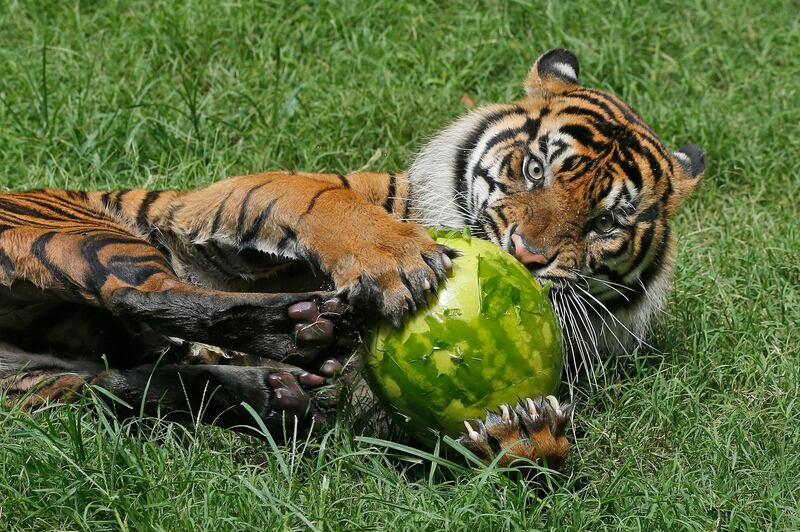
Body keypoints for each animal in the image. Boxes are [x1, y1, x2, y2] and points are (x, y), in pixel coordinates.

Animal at [0, 48, 700, 470]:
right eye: (535, 170)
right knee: (143, 295)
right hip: (88, 236)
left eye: (606, 223)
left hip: (51, 386)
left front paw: (526, 435)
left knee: (131, 379)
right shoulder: (224, 209)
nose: (526, 257)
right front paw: (393, 256)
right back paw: (295, 337)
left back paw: (276, 386)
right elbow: (321, 198)